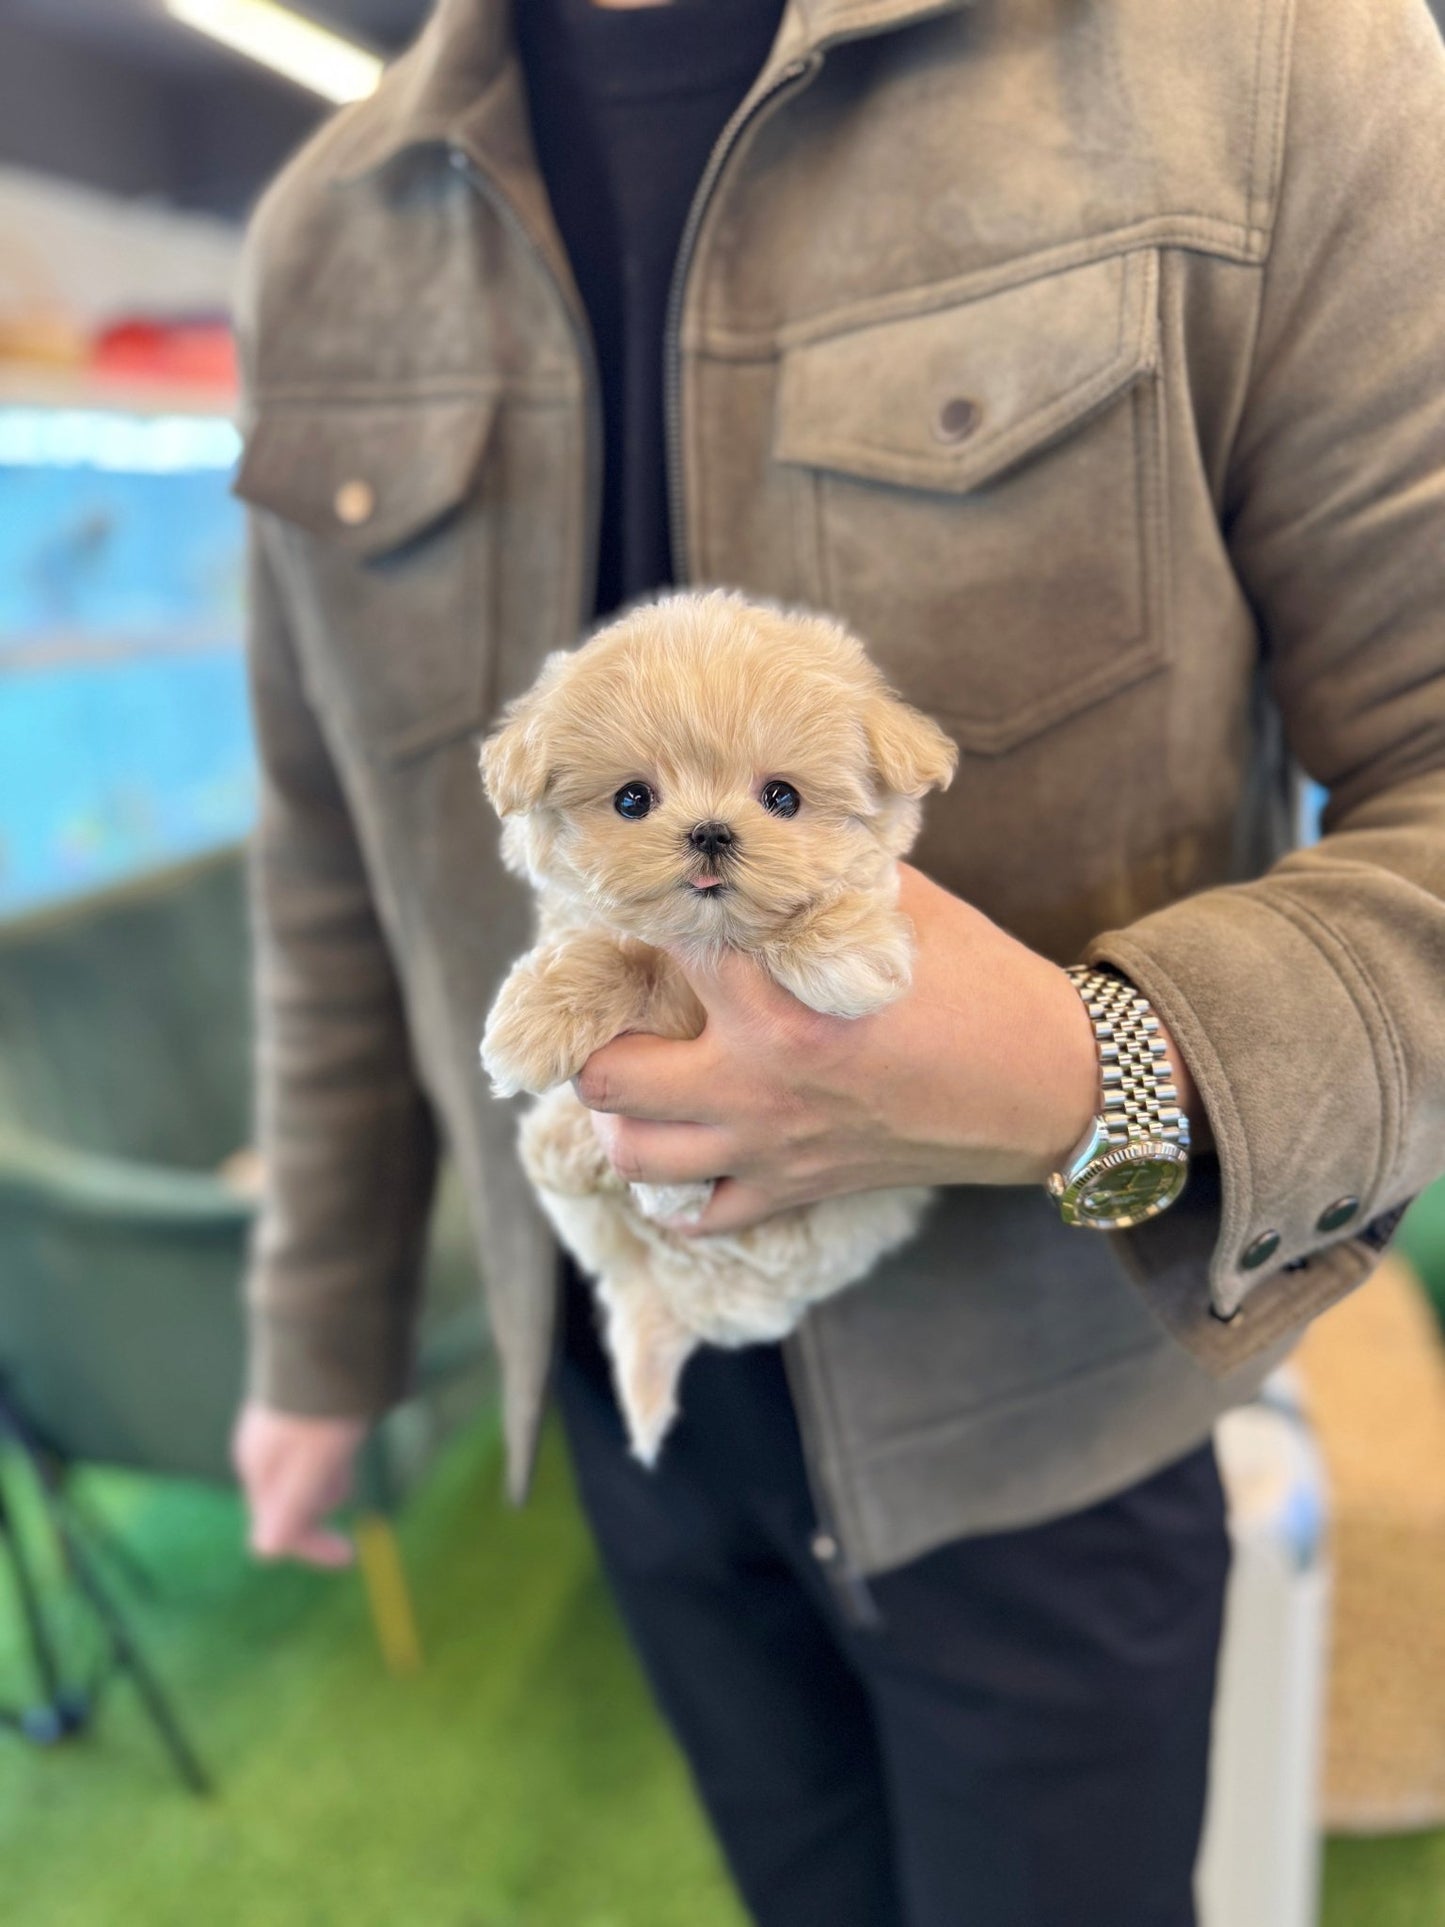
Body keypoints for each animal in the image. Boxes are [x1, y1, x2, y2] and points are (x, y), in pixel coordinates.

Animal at [483, 585, 963, 1456]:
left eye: (782, 797)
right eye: (632, 799)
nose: (709, 830)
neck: (704, 951)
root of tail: (675, 1302)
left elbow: (841, 904)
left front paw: (840, 950)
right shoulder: (612, 940)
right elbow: (615, 953)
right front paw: (535, 1018)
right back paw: (577, 1152)